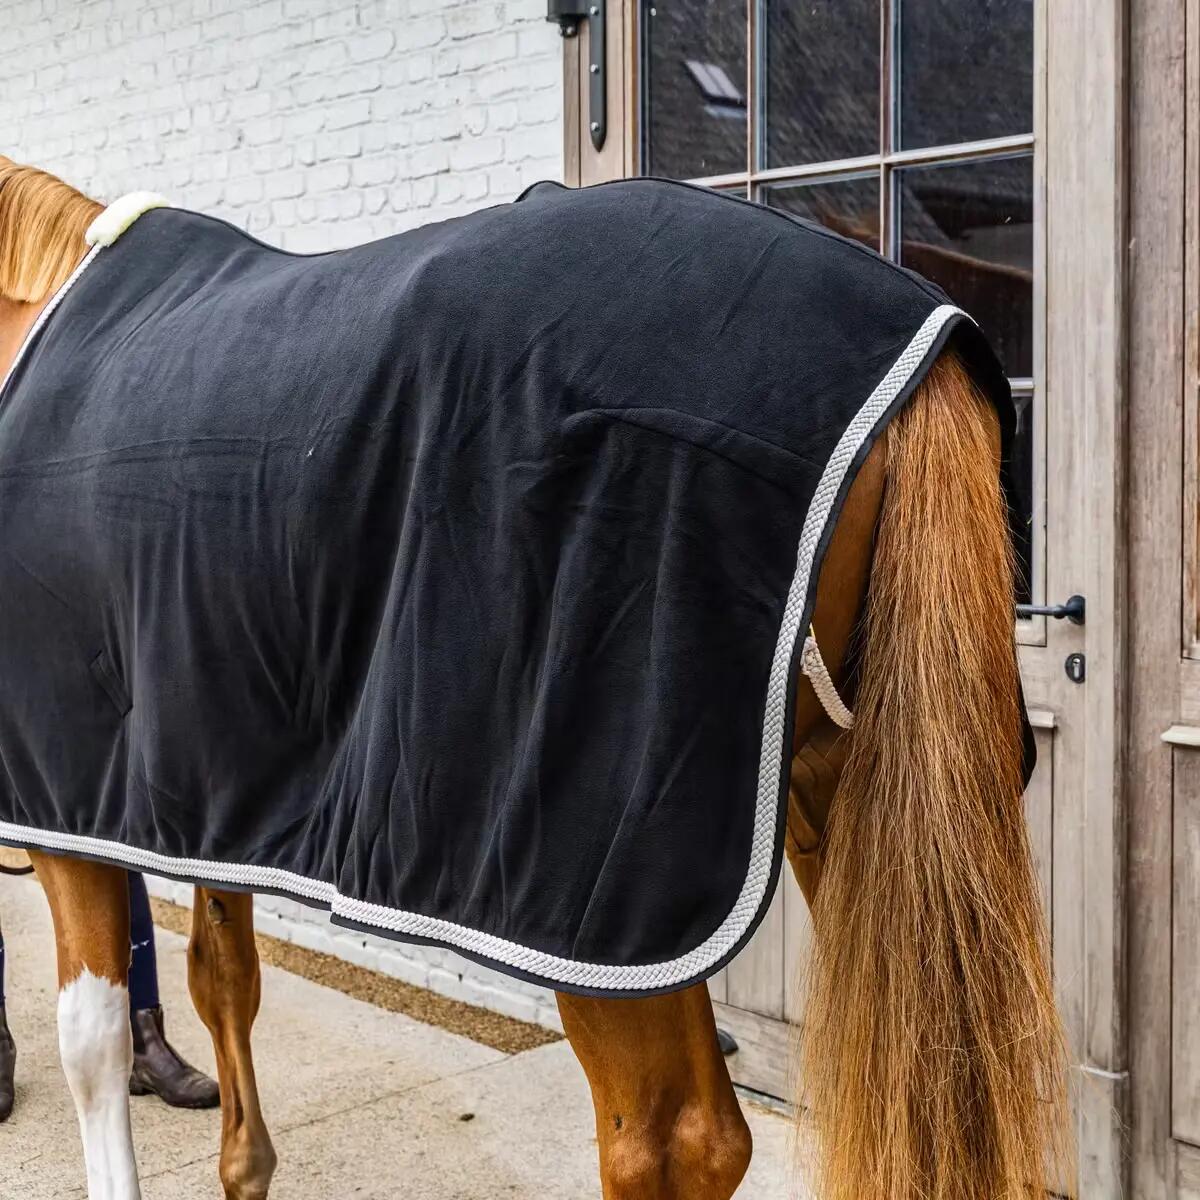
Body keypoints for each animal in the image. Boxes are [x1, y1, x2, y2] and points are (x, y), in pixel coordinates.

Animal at [0, 157, 1068, 1200]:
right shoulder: (201, 796)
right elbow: (225, 976)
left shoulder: (66, 800)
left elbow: (92, 1044)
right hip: (840, 800)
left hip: (597, 897)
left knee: (673, 1143)